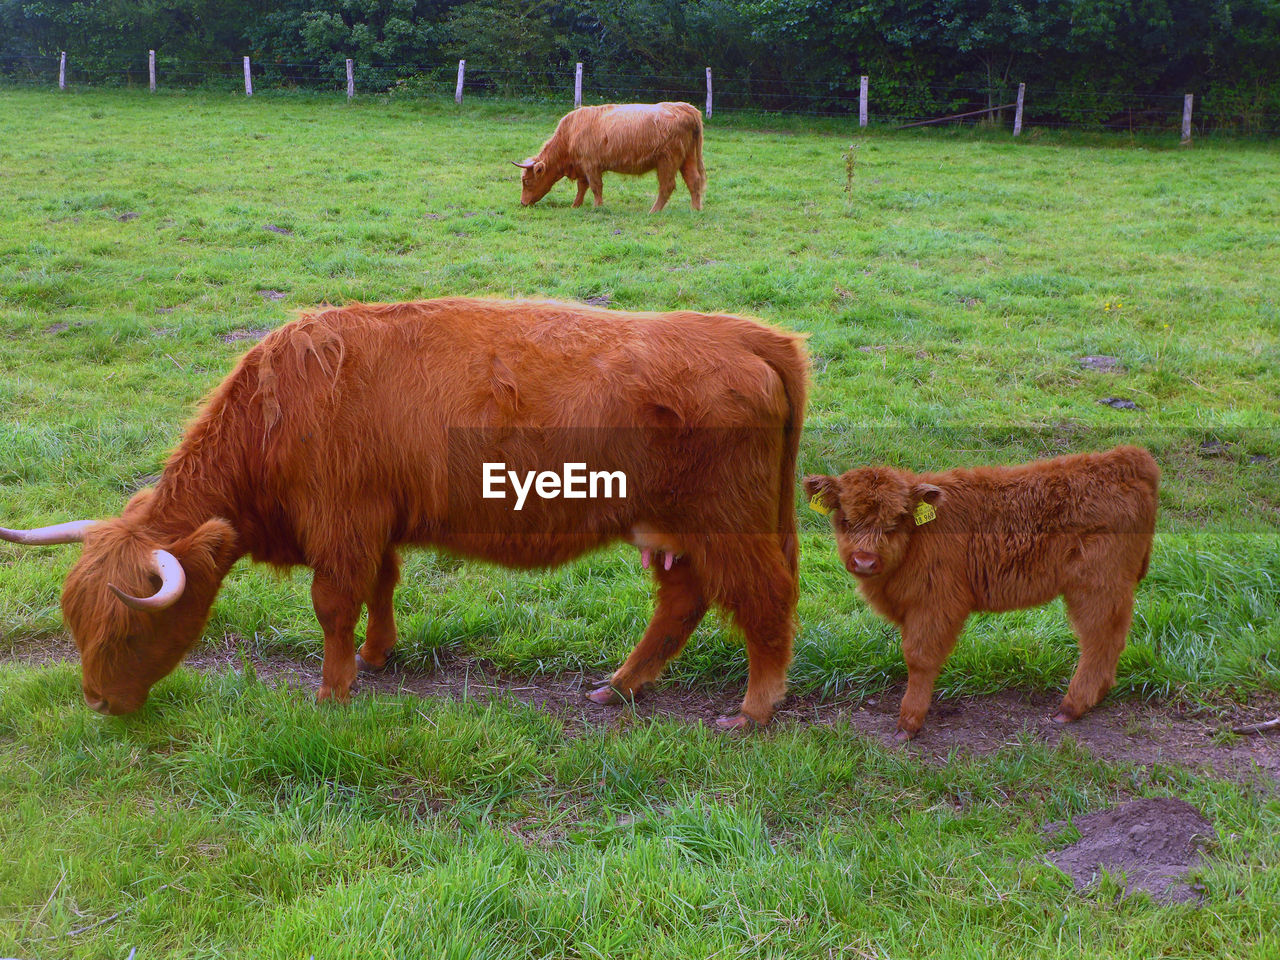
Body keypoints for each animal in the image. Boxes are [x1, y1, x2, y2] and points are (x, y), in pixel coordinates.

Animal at [2, 300, 808, 727]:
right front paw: (377, 655)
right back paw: (619, 686)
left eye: (129, 626)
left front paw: (332, 690)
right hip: (678, 533)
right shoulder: (375, 526)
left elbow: (333, 604)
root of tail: (741, 332)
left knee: (765, 599)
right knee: (683, 602)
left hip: (729, 525)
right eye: (75, 623)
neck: (273, 412)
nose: (98, 701)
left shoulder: (342, 525)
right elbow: (381, 588)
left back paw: (754, 708)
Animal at [512, 101, 711, 212]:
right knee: (694, 181)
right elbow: (582, 187)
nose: (522, 203)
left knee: (667, 186)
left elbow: (595, 186)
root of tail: (686, 108)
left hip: (667, 160)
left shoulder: (591, 164)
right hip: (688, 158)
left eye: (527, 181)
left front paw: (597, 207)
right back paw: (695, 209)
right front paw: (575, 205)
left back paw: (654, 211)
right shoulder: (583, 167)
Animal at [808, 448, 1162, 742]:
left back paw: (1071, 706)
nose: (864, 560)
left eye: (896, 520)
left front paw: (908, 722)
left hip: (1098, 587)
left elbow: (919, 659)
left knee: (1100, 641)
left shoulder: (936, 605)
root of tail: (1123, 458)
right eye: (845, 518)